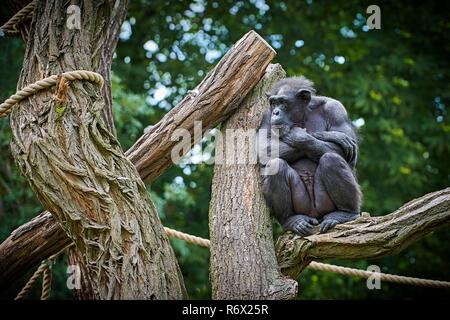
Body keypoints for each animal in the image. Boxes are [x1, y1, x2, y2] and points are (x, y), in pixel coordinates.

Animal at [258, 75, 360, 235]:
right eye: (273, 103)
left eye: (283, 102)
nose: (276, 112)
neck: (303, 114)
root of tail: (315, 215)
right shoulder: (266, 116)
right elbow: (264, 148)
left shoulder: (336, 109)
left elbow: (345, 150)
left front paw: (303, 135)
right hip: (303, 206)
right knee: (276, 165)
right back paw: (292, 220)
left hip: (324, 205)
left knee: (331, 159)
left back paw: (346, 213)